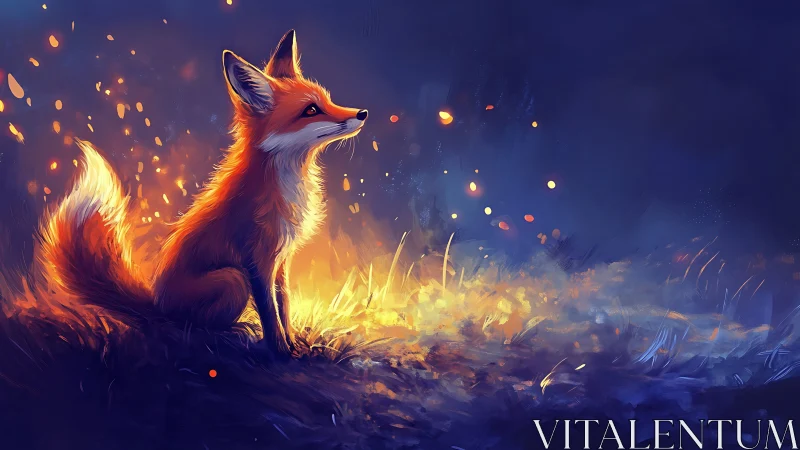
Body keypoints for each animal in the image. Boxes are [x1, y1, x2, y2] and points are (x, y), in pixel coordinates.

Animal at [38, 29, 368, 355]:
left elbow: (283, 305)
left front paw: (296, 344)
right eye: (311, 110)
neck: (287, 182)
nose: (362, 113)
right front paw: (281, 351)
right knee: (190, 331)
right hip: (233, 279)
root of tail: (156, 306)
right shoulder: (256, 260)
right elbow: (269, 312)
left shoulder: (281, 259)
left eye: (327, 100)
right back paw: (234, 332)